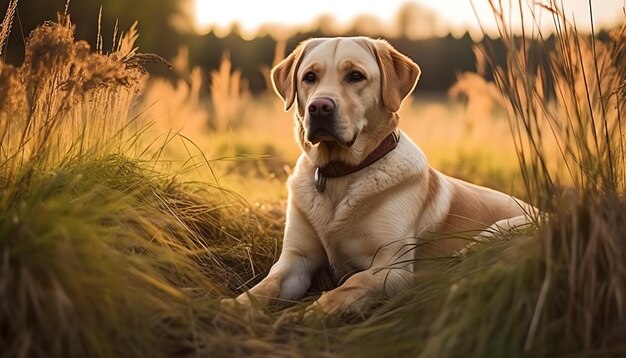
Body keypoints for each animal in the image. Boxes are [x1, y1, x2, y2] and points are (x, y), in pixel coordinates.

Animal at [224, 37, 532, 316]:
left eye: (355, 76)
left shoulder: (392, 267)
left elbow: (354, 283)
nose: (319, 107)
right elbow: (268, 284)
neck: (340, 173)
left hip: (502, 228)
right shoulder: (296, 260)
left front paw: (315, 311)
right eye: (309, 77)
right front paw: (236, 307)